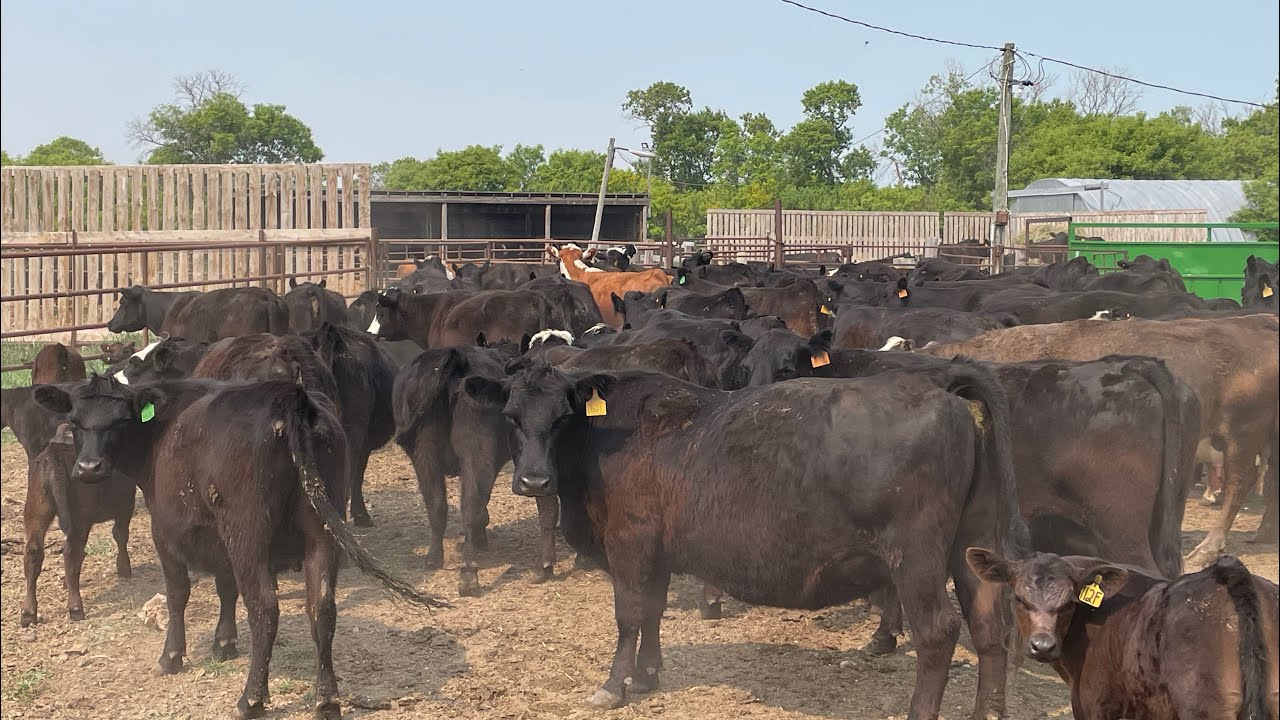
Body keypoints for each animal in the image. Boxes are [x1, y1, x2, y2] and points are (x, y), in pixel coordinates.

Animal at [21, 423, 136, 627]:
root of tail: (55, 449)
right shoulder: (126, 503)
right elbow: (120, 534)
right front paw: (124, 568)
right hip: (80, 517)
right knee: (72, 553)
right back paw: (76, 608)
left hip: (36, 509)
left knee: (33, 552)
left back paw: (28, 612)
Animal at [33, 376, 444, 719]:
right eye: (75, 421)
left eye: (119, 421)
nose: (88, 467)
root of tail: (287, 395)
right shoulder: (220, 540)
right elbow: (225, 587)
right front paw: (225, 642)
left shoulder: (165, 532)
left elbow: (178, 594)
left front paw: (172, 656)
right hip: (321, 532)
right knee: (322, 607)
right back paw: (326, 699)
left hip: (249, 533)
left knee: (264, 608)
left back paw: (251, 699)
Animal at [464, 360, 1027, 717]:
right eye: (511, 416)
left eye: (562, 416)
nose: (534, 481)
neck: (611, 435)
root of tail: (940, 383)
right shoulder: (658, 552)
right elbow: (652, 611)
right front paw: (647, 674)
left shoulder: (630, 541)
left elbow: (628, 616)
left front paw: (613, 685)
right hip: (973, 548)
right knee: (988, 630)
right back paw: (988, 713)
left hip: (916, 557)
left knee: (938, 632)